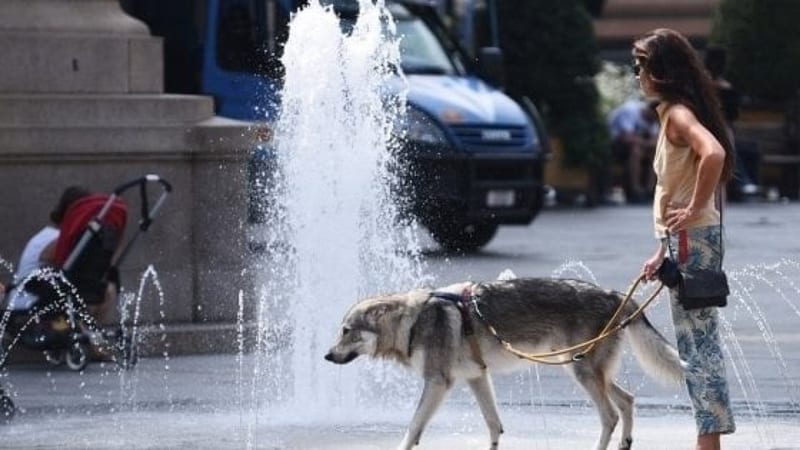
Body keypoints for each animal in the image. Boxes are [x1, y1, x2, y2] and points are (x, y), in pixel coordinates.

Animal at [324, 276, 680, 448]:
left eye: (346, 331)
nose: (326, 356)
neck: (411, 323)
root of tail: (615, 294)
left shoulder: (438, 382)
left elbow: (412, 427)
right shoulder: (476, 377)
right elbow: (494, 424)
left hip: (581, 373)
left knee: (610, 415)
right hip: (584, 370)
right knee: (628, 400)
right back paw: (626, 443)